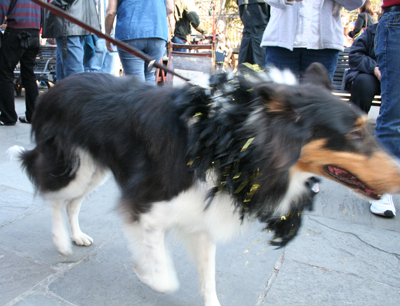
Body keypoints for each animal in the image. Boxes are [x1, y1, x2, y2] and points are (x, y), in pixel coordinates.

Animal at [11, 67, 400, 306]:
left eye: (367, 129)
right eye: (353, 134)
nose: (399, 174)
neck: (235, 143)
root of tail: (54, 86)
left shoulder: (202, 215)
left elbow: (208, 276)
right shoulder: (145, 203)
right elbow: (164, 274)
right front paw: (144, 270)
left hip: (94, 171)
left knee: (72, 203)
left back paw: (77, 236)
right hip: (73, 167)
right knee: (54, 198)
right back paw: (61, 241)